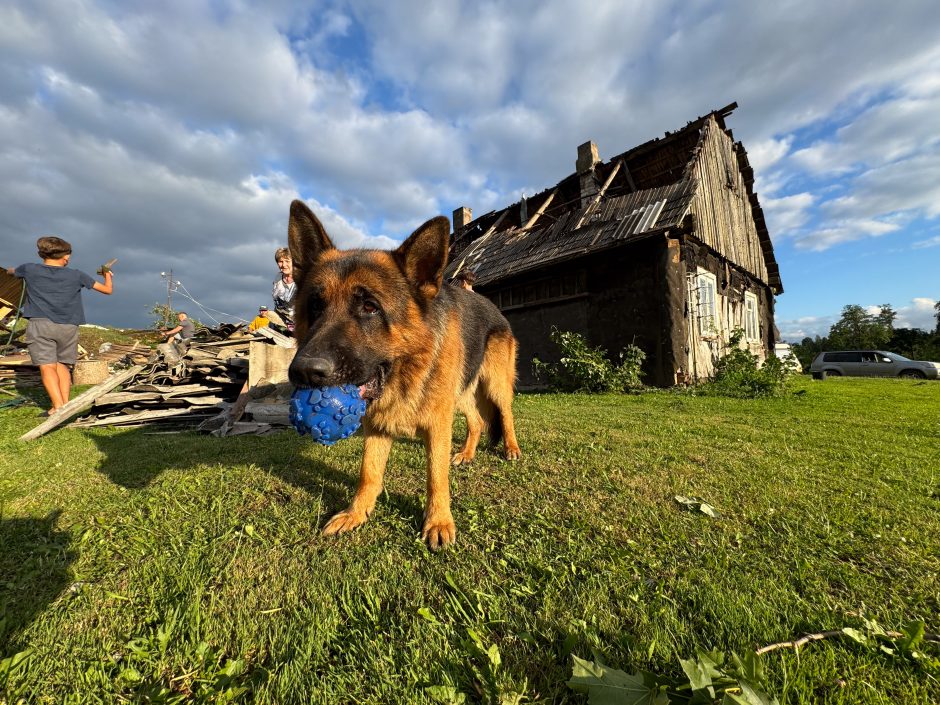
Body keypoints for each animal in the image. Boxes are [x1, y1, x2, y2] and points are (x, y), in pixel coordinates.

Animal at [286, 201, 520, 548]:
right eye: (315, 305)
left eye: (370, 307)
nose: (304, 371)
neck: (405, 372)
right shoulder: (377, 426)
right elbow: (368, 473)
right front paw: (356, 513)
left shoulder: (437, 423)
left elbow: (436, 476)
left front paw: (438, 521)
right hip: (461, 392)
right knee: (477, 421)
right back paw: (466, 454)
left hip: (495, 384)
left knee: (505, 414)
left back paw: (511, 449)